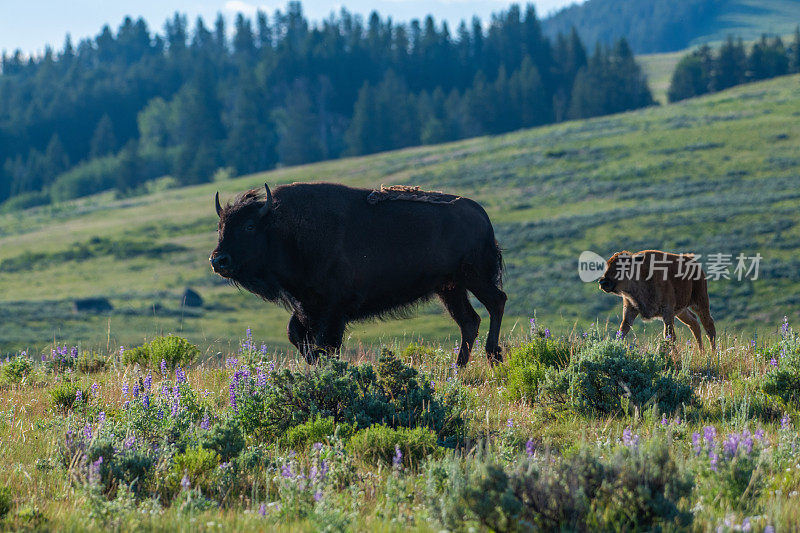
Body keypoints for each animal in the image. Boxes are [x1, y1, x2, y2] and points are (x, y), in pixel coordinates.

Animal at [208, 183, 506, 366]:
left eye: (248, 226)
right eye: (220, 227)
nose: (218, 260)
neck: (283, 229)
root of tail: (480, 213)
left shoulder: (333, 310)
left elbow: (326, 345)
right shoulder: (307, 308)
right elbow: (298, 336)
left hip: (473, 277)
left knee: (496, 302)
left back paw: (494, 356)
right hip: (450, 288)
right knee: (469, 321)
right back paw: (458, 369)